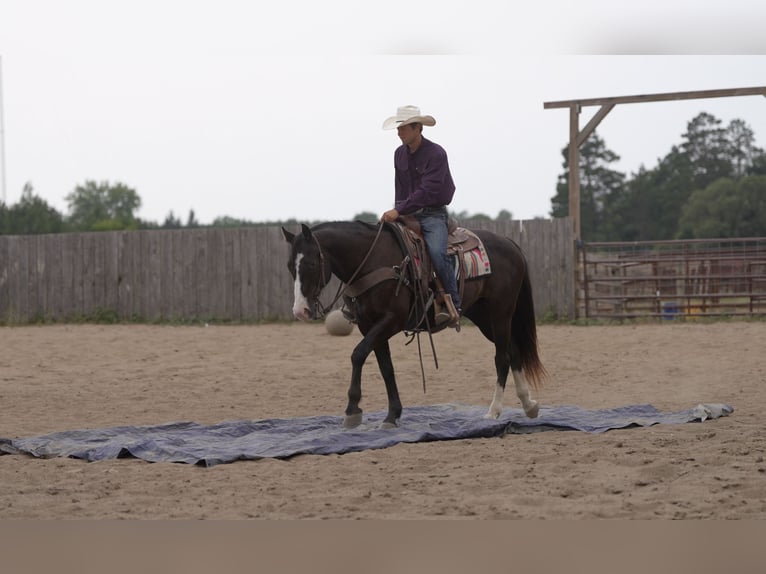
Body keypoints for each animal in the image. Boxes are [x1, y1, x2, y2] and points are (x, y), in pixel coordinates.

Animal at [282, 220, 546, 429]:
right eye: (289, 266)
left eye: (311, 264)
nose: (300, 311)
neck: (372, 261)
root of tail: (509, 243)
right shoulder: (370, 326)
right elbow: (385, 367)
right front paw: (392, 415)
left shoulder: (391, 320)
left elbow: (358, 354)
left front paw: (352, 410)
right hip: (484, 317)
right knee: (513, 351)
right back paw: (529, 405)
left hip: (501, 312)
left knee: (501, 356)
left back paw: (493, 411)